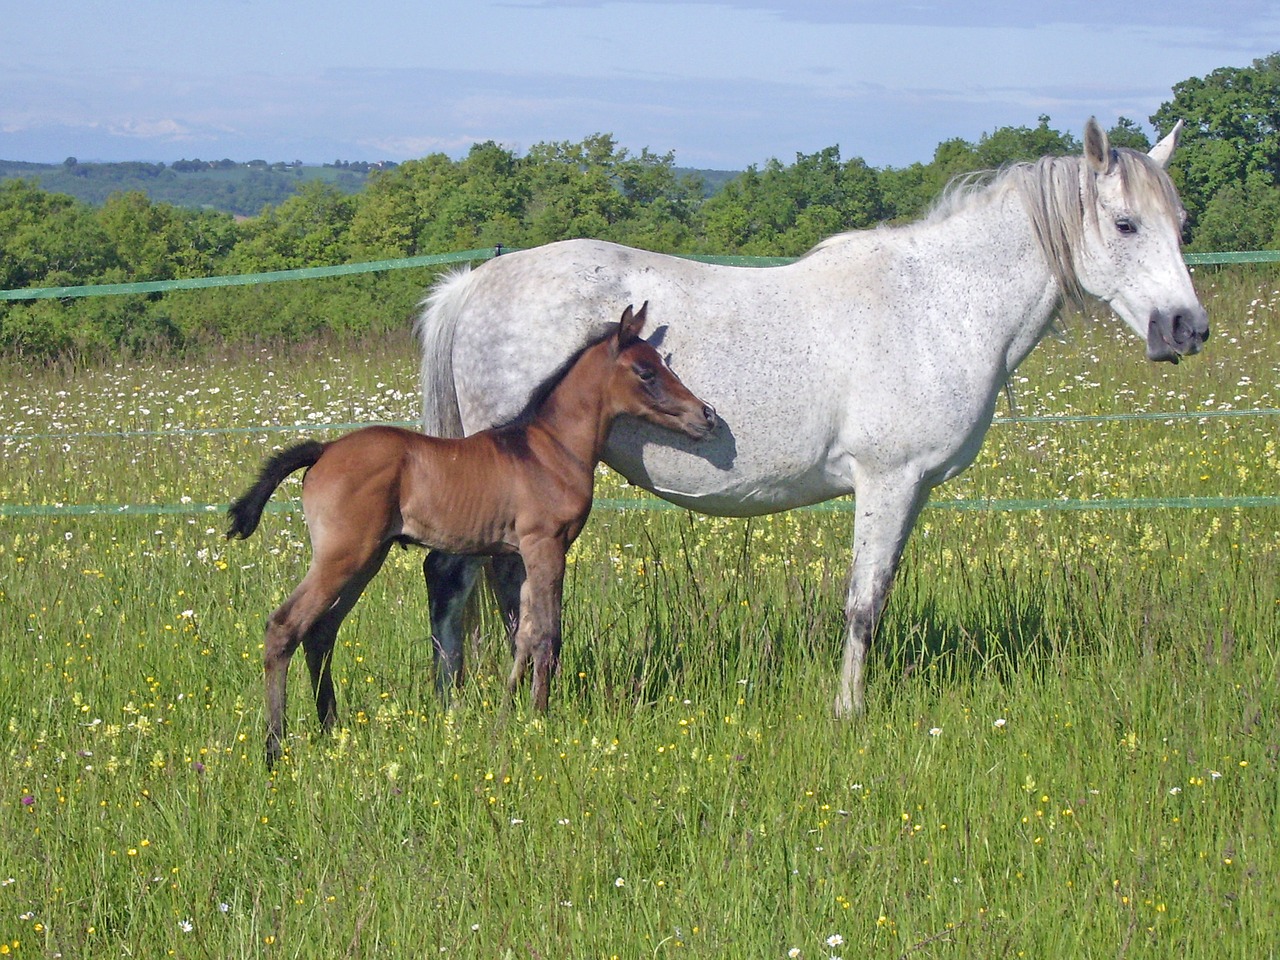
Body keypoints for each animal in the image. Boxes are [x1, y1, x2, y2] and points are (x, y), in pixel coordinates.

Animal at [226, 304, 716, 773]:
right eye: (646, 371)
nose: (707, 416)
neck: (549, 449)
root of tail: (324, 450)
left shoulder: (520, 554)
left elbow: (524, 631)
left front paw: (507, 713)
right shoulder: (545, 545)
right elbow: (546, 633)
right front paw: (540, 718)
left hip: (367, 558)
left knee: (322, 631)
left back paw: (331, 728)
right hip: (343, 556)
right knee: (285, 626)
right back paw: (274, 748)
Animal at [417, 120, 1208, 716]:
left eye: (1182, 226)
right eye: (1125, 224)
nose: (1187, 328)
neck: (939, 303)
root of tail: (474, 284)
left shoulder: (912, 490)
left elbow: (877, 597)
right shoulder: (887, 481)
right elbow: (863, 604)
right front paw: (848, 711)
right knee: (489, 584)